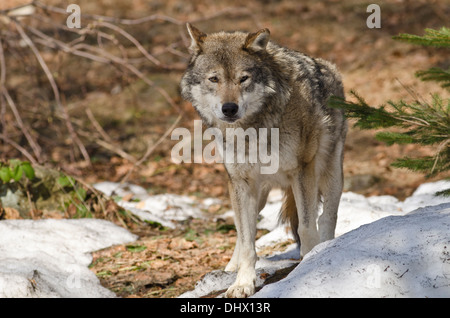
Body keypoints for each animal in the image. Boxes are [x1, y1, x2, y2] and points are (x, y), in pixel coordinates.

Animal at [180, 23, 348, 296]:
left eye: (243, 78)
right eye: (214, 79)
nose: (229, 108)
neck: (253, 128)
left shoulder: (302, 171)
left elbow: (306, 227)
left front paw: (309, 264)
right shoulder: (239, 182)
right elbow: (247, 241)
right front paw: (242, 283)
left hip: (330, 174)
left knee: (326, 217)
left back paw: (328, 247)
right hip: (256, 194)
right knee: (240, 233)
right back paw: (230, 267)